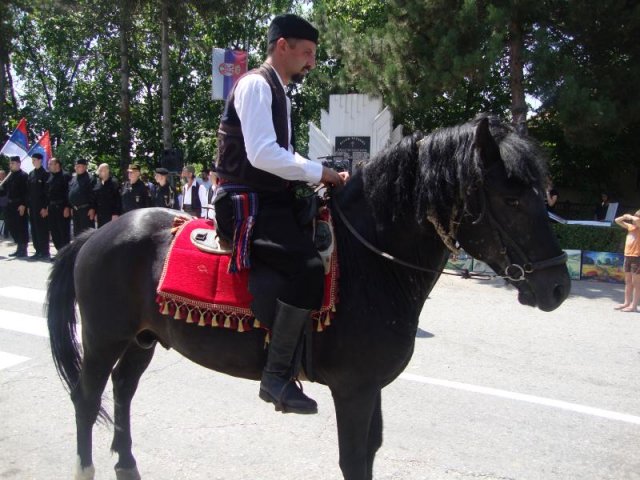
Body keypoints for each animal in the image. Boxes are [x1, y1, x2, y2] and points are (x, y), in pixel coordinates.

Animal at [48, 115, 568, 480]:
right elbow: (354, 460)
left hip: (143, 338)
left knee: (122, 390)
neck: (369, 262)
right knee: (85, 396)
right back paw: (85, 466)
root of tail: (97, 232)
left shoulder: (370, 389)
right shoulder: (355, 389)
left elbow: (369, 454)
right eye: (512, 200)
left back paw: (125, 462)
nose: (559, 286)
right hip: (103, 338)